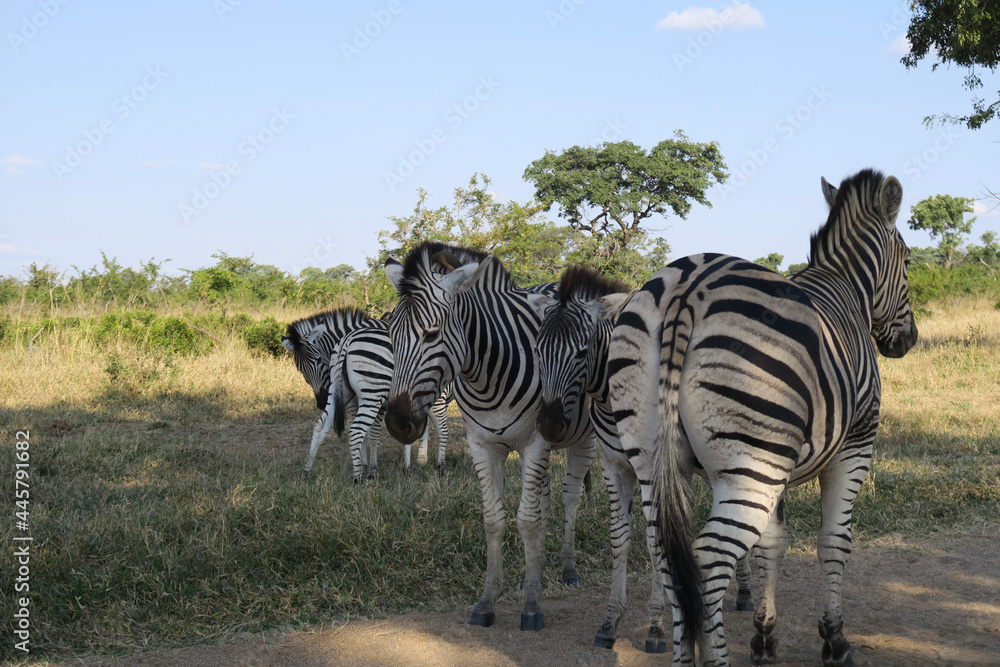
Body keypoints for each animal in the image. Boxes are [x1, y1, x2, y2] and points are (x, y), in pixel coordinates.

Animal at [282, 308, 449, 480]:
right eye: (300, 369)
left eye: (318, 360)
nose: (321, 402)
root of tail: (347, 340)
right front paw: (366, 466)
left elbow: (373, 433)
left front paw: (367, 465)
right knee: (356, 430)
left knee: (321, 426)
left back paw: (307, 470)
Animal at [382, 242, 597, 632]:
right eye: (390, 336)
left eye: (431, 334)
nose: (397, 422)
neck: (487, 374)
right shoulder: (482, 445)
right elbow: (494, 520)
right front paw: (488, 601)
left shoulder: (536, 443)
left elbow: (526, 521)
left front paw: (531, 605)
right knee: (544, 500)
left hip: (582, 438)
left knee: (570, 497)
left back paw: (568, 567)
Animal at [529, 265, 754, 653]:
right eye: (539, 350)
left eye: (582, 353)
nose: (549, 424)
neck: (611, 397)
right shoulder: (613, 467)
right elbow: (620, 536)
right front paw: (610, 623)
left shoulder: (651, 471)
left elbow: (655, 541)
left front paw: (656, 626)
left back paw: (750, 594)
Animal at [607, 168, 917, 666]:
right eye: (908, 261)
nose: (907, 341)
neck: (846, 287)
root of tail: (688, 289)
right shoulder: (854, 445)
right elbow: (834, 541)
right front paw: (834, 640)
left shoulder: (777, 463)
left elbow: (771, 545)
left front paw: (765, 638)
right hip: (753, 465)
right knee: (708, 557)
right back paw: (715, 658)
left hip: (661, 454)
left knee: (668, 553)